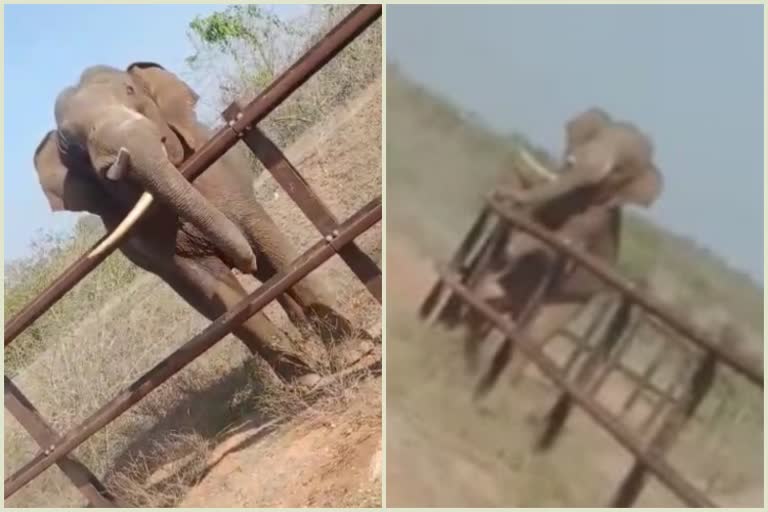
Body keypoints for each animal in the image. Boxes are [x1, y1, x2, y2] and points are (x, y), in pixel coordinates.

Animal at [33, 61, 364, 388]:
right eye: (71, 146)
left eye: (129, 90)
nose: (243, 262)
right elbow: (213, 287)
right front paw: (308, 381)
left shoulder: (219, 177)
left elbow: (263, 238)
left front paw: (354, 354)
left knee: (268, 272)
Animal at [460, 108, 664, 396]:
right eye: (592, 137)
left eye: (620, 169)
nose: (570, 160)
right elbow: (531, 216)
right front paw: (505, 203)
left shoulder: (592, 222)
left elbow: (556, 244)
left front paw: (516, 245)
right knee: (484, 301)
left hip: (573, 301)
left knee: (531, 337)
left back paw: (494, 388)